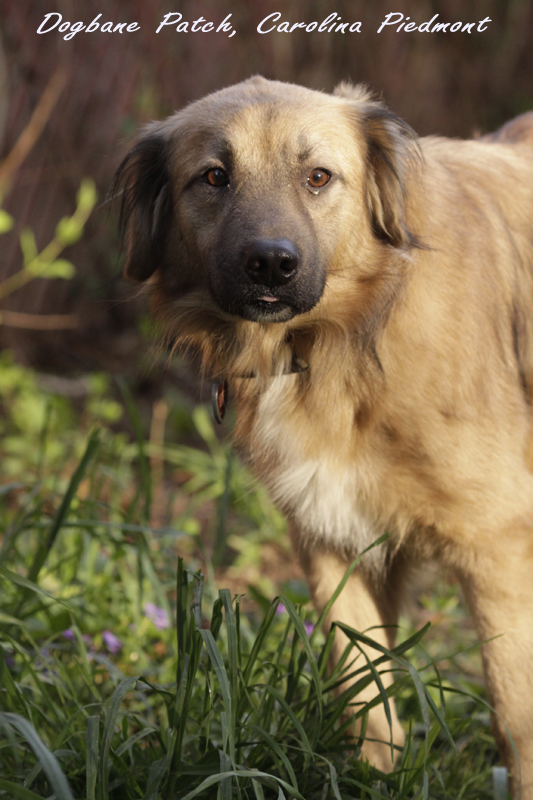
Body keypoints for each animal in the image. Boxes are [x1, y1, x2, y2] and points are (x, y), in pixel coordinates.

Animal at [114, 76, 532, 800]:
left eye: (317, 177)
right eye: (214, 176)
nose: (270, 265)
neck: (336, 340)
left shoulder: (498, 547)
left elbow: (514, 716)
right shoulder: (332, 537)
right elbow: (367, 697)